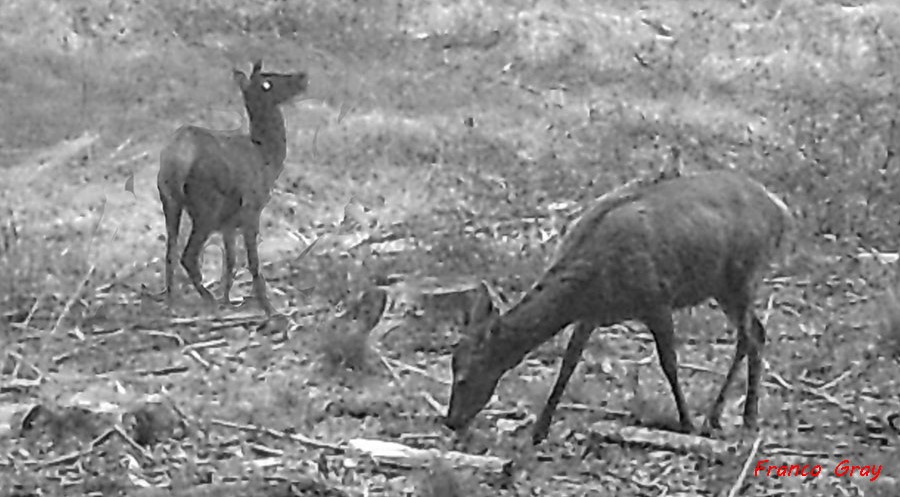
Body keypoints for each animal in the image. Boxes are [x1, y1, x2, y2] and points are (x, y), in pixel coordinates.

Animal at [155, 60, 310, 316]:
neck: (268, 160)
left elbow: (230, 262)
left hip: (169, 200)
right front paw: (267, 307)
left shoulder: (229, 223)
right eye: (267, 83)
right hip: (206, 206)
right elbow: (253, 262)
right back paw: (207, 299)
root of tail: (177, 159)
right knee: (188, 256)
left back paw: (172, 302)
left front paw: (228, 299)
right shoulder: (252, 209)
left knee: (170, 253)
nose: (302, 76)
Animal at [446, 170, 792, 442]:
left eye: (463, 376)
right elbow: (568, 364)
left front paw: (686, 423)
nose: (450, 420)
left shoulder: (657, 299)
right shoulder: (591, 314)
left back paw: (733, 419)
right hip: (724, 287)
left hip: (743, 276)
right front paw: (539, 429)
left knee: (750, 336)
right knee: (755, 333)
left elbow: (669, 363)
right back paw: (728, 417)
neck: (591, 282)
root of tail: (781, 209)